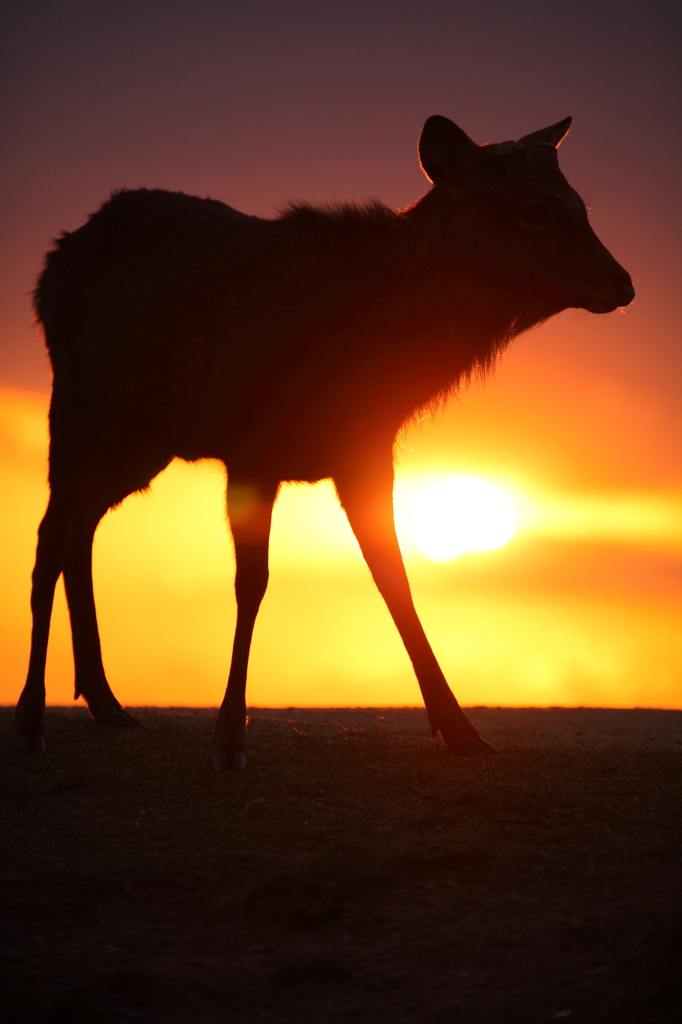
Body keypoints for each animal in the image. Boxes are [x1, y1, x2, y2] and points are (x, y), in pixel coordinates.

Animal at [14, 114, 630, 770]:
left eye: (581, 204)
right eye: (532, 209)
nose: (623, 283)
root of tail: (54, 261)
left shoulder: (366, 455)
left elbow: (395, 578)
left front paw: (462, 730)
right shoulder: (251, 452)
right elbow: (252, 585)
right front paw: (229, 737)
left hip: (143, 439)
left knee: (81, 525)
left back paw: (105, 700)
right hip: (75, 398)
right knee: (49, 534)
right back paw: (31, 718)